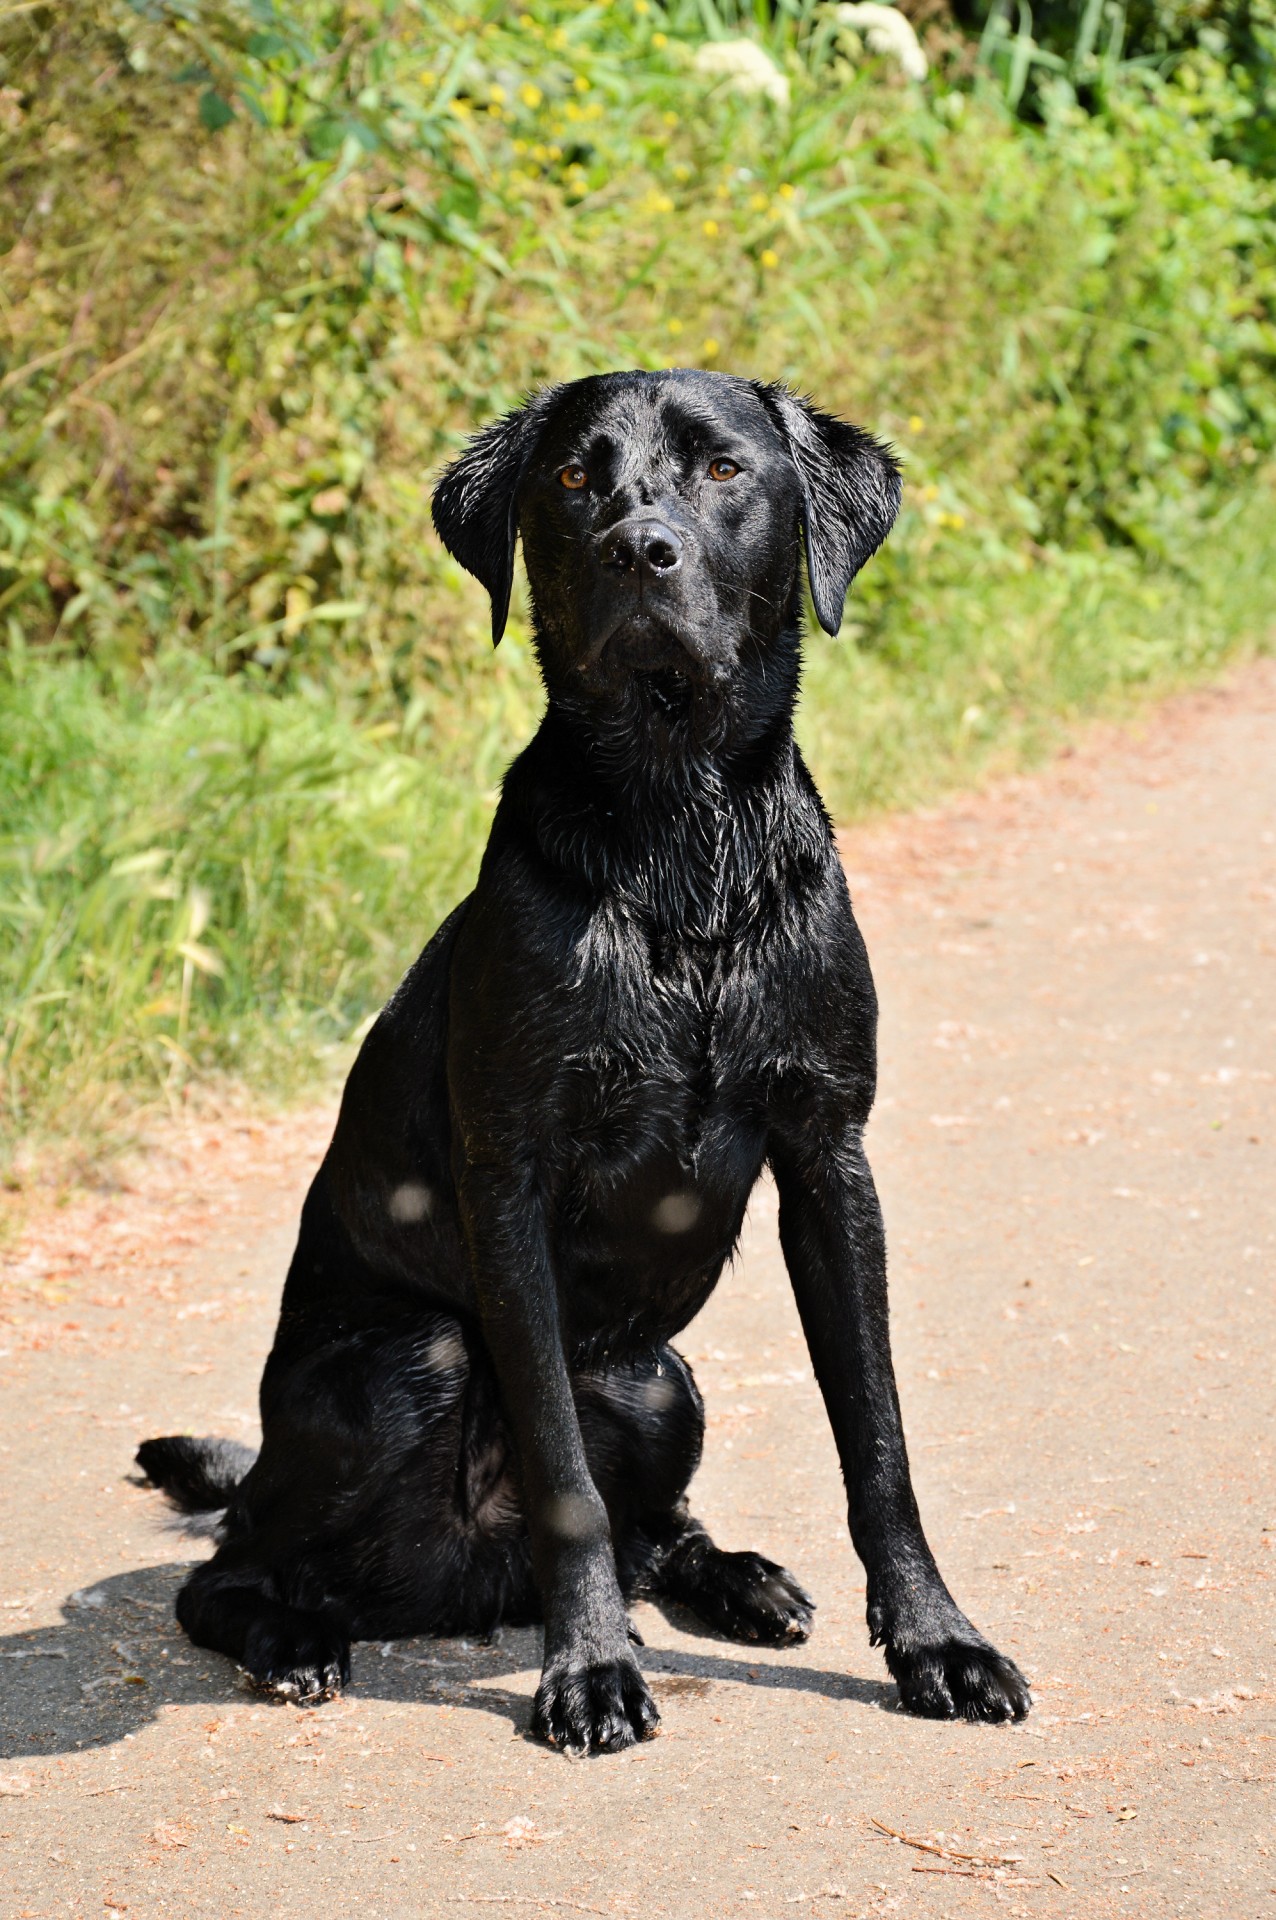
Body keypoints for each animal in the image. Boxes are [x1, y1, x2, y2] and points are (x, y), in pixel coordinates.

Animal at [139, 362, 1028, 1758]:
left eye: (723, 468)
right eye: (570, 477)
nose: (637, 549)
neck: (682, 836)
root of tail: (457, 1591)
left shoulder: (830, 1156)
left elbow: (877, 1442)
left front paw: (938, 1641)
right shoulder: (510, 1179)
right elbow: (565, 1483)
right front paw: (592, 1670)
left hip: (658, 1381)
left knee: (660, 1526)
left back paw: (737, 1580)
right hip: (402, 1367)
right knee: (228, 1568)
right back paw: (294, 1639)